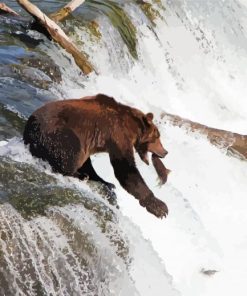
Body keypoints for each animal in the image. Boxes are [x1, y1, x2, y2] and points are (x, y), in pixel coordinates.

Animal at [23, 93, 169, 219]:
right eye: (157, 136)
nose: (165, 152)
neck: (132, 128)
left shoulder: (93, 140)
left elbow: (89, 163)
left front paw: (106, 181)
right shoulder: (117, 133)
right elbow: (125, 168)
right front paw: (160, 207)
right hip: (59, 132)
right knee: (70, 150)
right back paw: (78, 174)